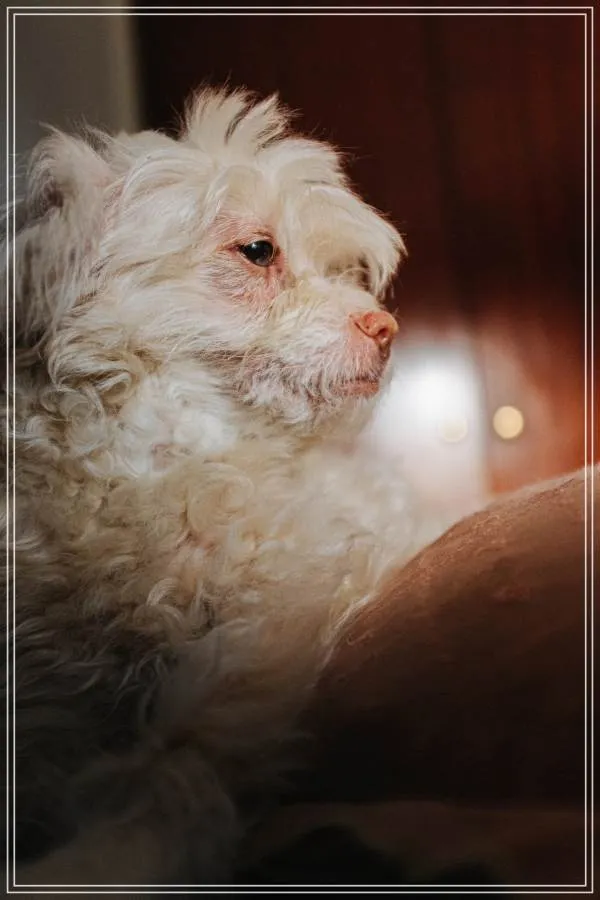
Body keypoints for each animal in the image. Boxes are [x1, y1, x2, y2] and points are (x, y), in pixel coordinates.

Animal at [3, 87, 414, 886]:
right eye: (257, 251)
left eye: (341, 265)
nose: (385, 328)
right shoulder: (42, 700)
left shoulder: (265, 643)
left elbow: (174, 767)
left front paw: (103, 858)